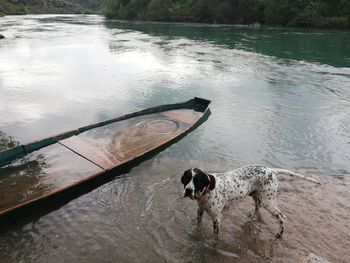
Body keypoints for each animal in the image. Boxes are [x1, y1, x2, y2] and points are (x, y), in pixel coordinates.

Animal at [180, 167, 320, 239]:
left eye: (197, 180)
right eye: (187, 179)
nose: (188, 190)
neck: (207, 190)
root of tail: (271, 170)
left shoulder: (217, 218)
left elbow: (215, 235)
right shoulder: (200, 211)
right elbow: (197, 226)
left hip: (268, 201)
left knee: (282, 217)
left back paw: (279, 234)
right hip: (256, 196)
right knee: (258, 208)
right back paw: (253, 217)